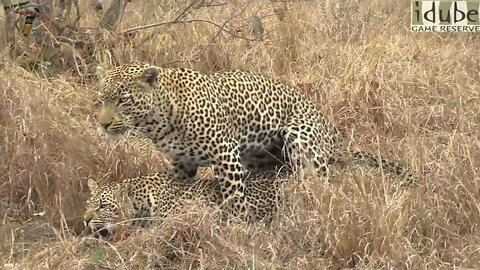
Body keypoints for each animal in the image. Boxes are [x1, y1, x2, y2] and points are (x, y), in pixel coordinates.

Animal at [94, 63, 416, 219]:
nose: (103, 123)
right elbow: (179, 189)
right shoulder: (181, 161)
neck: (158, 121)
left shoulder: (225, 155)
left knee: (321, 186)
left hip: (300, 138)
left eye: (123, 100)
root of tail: (331, 132)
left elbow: (234, 199)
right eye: (101, 99)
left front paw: (237, 229)